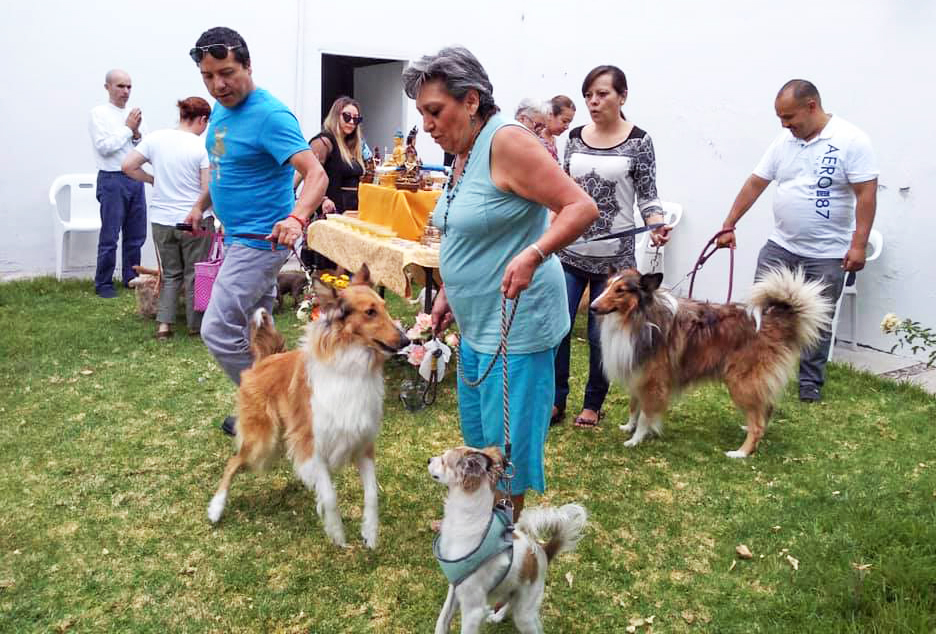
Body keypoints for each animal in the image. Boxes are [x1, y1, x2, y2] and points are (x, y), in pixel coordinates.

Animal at [208, 264, 410, 544]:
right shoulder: (311, 444)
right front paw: (337, 533)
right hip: (262, 443)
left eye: (384, 306)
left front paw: (369, 533)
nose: (407, 341)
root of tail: (266, 359)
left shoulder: (362, 443)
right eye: (369, 312)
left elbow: (372, 495)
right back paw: (216, 508)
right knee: (233, 462)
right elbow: (330, 496)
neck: (350, 366)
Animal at [430, 444, 588, 632]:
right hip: (512, 591)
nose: (429, 460)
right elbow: (442, 621)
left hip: (525, 613)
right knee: (510, 602)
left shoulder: (473, 608)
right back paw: (498, 616)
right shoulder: (455, 588)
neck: (466, 524)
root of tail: (543, 551)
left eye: (443, 460)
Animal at [596, 266, 828, 454]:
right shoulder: (637, 371)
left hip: (742, 383)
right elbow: (634, 406)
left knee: (758, 424)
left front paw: (635, 440)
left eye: (621, 290)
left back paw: (741, 453)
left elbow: (646, 414)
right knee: (765, 410)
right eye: (607, 286)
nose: (593, 306)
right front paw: (628, 427)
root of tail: (778, 320)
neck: (639, 317)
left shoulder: (653, 382)